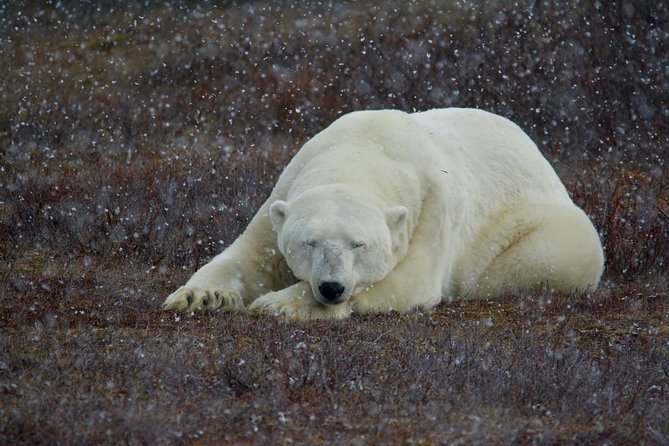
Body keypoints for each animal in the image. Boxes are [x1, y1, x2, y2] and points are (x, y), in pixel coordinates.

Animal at [162, 108, 604, 319]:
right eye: (310, 242)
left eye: (359, 244)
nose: (331, 287)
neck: (361, 148)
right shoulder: (284, 187)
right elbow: (250, 257)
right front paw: (201, 296)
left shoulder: (431, 208)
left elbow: (409, 281)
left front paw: (279, 304)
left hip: (547, 230)